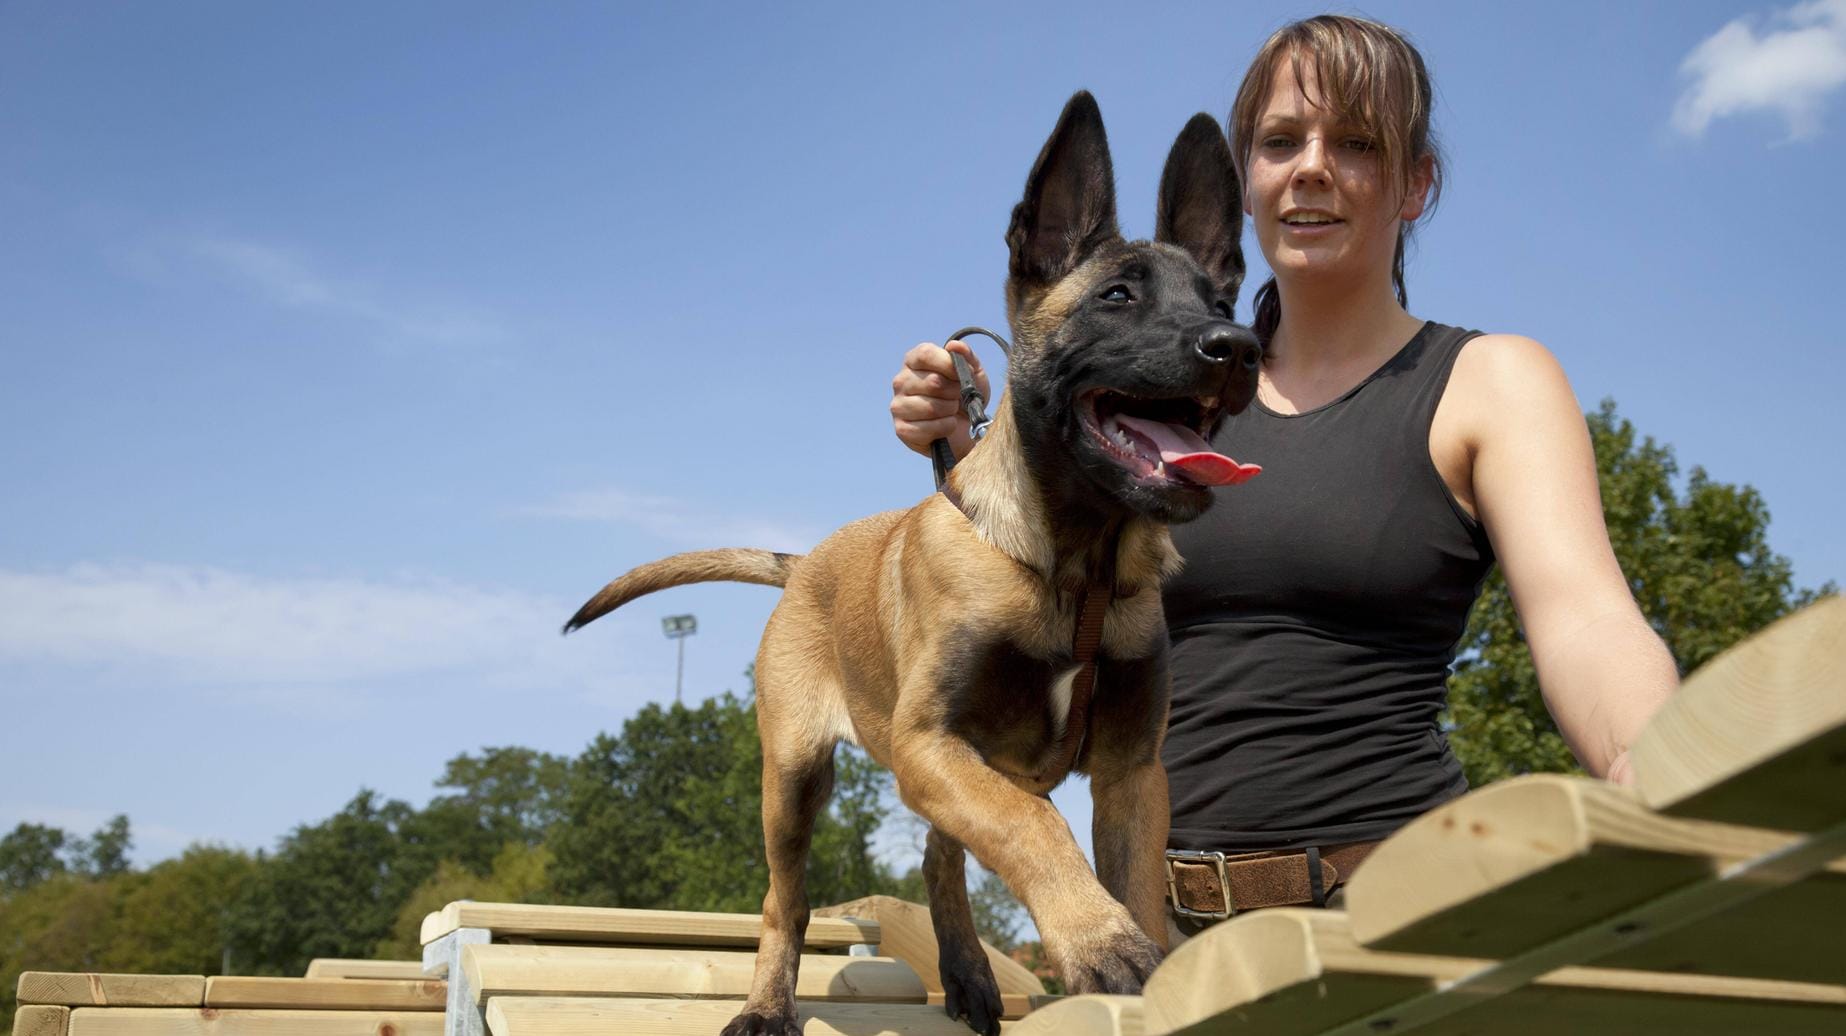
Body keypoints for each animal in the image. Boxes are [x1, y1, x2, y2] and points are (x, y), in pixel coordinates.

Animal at [561, 90, 1255, 1034]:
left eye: (1221, 294)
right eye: (1117, 297)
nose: (1240, 346)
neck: (1075, 566)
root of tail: (804, 562)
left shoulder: (1129, 771)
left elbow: (1125, 878)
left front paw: (1134, 955)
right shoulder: (933, 741)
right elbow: (1033, 830)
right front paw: (1101, 943)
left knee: (938, 858)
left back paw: (965, 973)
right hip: (794, 778)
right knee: (788, 898)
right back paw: (768, 1006)